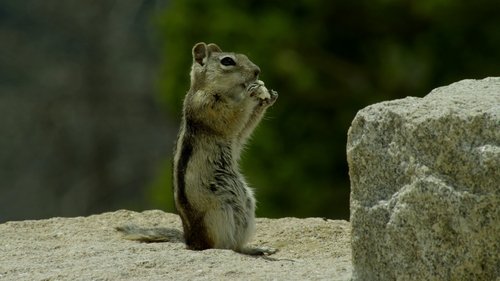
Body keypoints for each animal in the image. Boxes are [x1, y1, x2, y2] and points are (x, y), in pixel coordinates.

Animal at [117, 42, 278, 255]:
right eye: (227, 61)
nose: (257, 71)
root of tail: (191, 241)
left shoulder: (237, 135)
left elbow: (244, 128)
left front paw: (268, 96)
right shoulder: (210, 109)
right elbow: (235, 116)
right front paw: (252, 93)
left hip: (247, 204)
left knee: (237, 246)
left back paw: (258, 249)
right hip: (218, 215)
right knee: (222, 246)